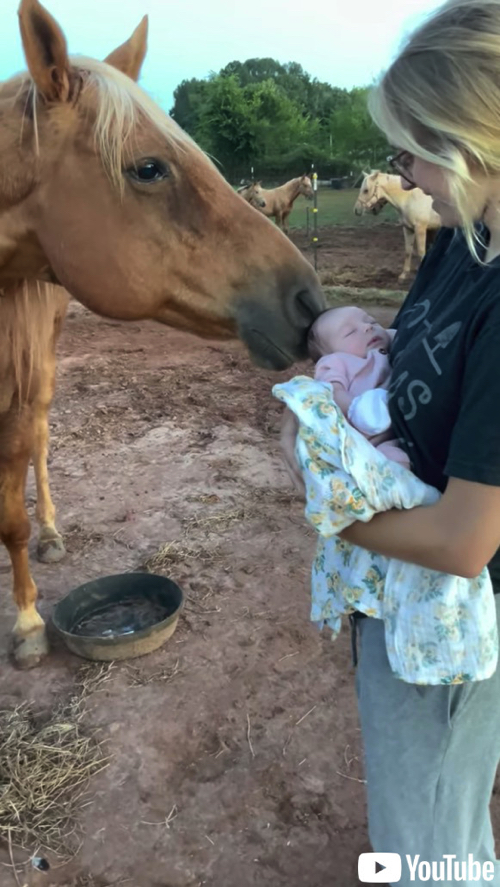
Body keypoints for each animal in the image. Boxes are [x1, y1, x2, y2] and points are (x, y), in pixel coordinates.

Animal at [0, 0, 324, 664]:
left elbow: (12, 517)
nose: (308, 299)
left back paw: (51, 533)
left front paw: (26, 624)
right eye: (148, 168)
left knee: (40, 443)